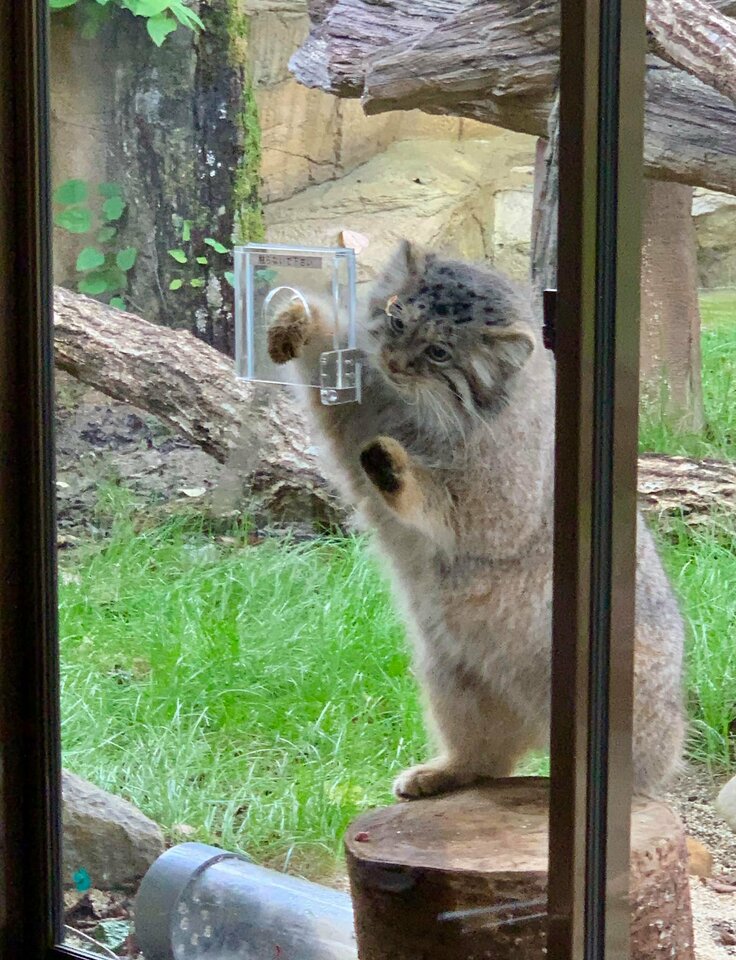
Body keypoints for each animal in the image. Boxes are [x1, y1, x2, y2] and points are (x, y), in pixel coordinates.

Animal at [264, 240, 684, 796]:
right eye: (397, 318)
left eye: (440, 353)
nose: (394, 362)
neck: (417, 409)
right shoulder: (353, 414)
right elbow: (328, 370)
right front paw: (295, 318)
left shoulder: (497, 503)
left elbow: (438, 496)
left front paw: (396, 466)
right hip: (449, 673)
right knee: (489, 761)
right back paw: (443, 773)